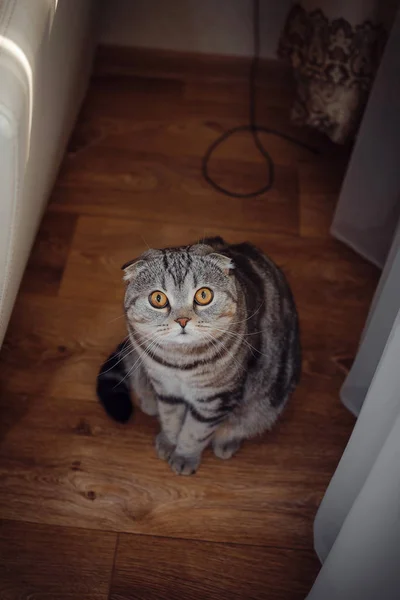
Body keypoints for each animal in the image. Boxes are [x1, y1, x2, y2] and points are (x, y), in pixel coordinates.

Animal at [98, 237, 302, 476]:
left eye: (203, 295)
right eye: (158, 298)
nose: (183, 320)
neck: (180, 362)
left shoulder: (215, 399)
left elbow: (195, 431)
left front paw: (184, 456)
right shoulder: (165, 386)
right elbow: (171, 418)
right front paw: (168, 441)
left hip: (267, 403)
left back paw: (226, 443)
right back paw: (149, 403)